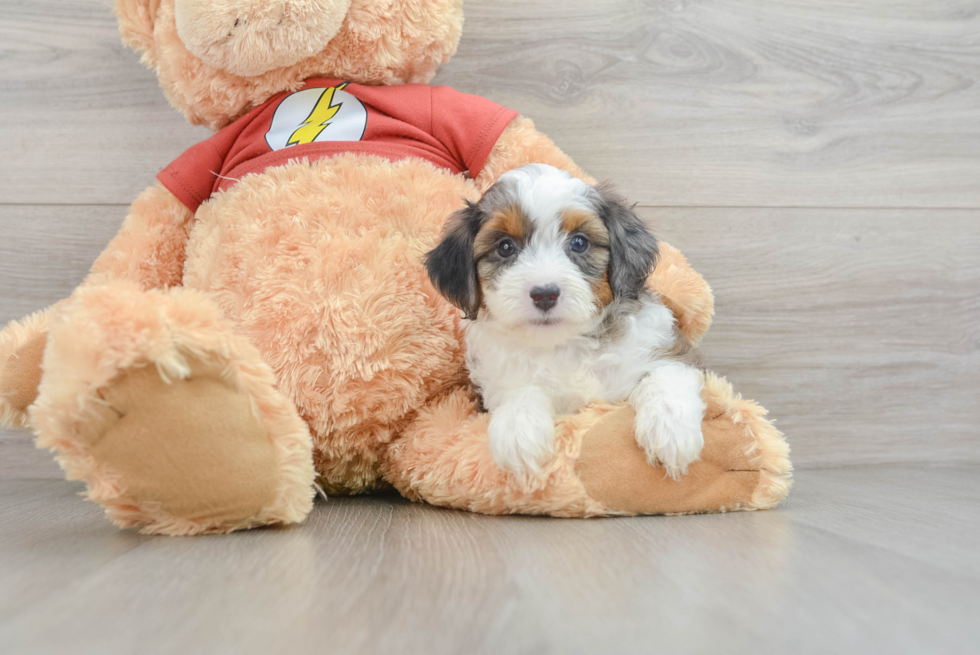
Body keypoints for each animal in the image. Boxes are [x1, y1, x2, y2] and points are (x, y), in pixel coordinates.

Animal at [424, 162, 704, 484]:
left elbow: (665, 375)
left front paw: (671, 429)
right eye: (505, 247)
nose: (545, 293)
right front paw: (518, 431)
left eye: (579, 242)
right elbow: (517, 390)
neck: (565, 344)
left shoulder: (664, 349)